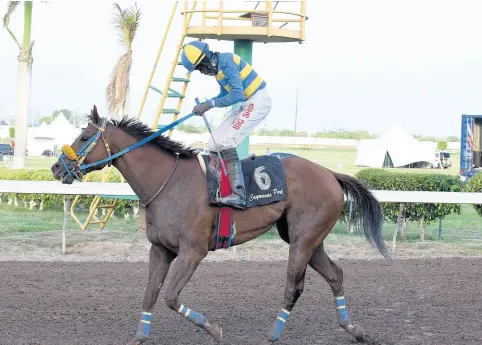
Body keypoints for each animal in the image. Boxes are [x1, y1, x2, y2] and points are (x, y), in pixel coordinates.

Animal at [50, 105, 388, 344]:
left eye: (84, 137)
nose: (56, 168)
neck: (167, 183)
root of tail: (331, 174)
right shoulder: (160, 250)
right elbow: (150, 294)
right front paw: (139, 337)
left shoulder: (193, 251)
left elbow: (171, 296)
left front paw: (214, 329)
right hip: (306, 238)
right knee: (335, 275)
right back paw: (354, 329)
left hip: (303, 240)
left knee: (294, 286)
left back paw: (272, 336)